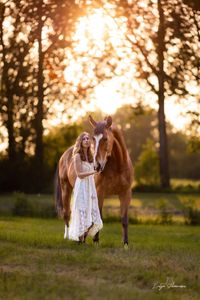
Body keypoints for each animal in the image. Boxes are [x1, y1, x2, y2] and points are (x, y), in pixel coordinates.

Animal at [54, 115, 134, 246]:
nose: (97, 166)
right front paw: (96, 241)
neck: (118, 167)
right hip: (66, 188)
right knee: (67, 213)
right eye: (93, 139)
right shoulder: (100, 192)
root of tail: (65, 154)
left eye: (105, 138)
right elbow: (99, 216)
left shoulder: (125, 194)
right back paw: (69, 236)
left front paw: (125, 244)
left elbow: (124, 219)